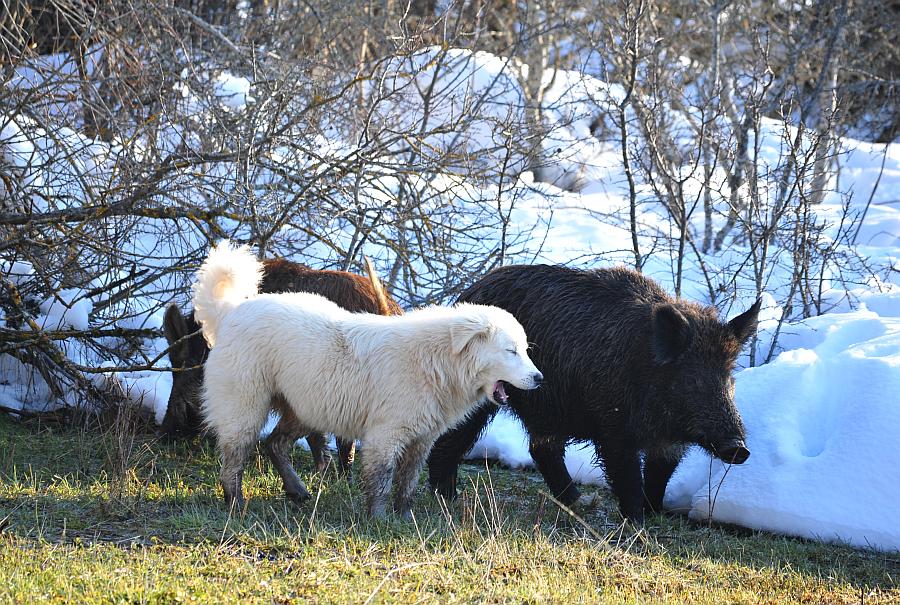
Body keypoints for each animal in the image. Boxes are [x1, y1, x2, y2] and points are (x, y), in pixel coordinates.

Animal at [192, 243, 540, 516]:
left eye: (525, 349)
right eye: (510, 351)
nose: (539, 379)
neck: (437, 360)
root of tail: (234, 311)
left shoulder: (421, 439)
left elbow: (408, 483)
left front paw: (405, 518)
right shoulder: (386, 436)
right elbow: (382, 481)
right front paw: (379, 520)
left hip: (308, 408)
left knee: (274, 444)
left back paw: (297, 491)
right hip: (246, 408)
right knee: (234, 461)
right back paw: (236, 504)